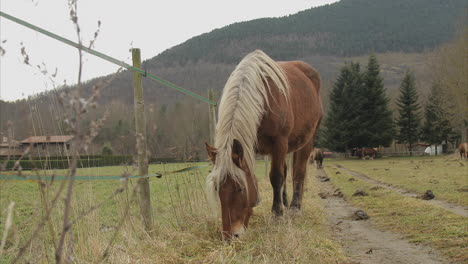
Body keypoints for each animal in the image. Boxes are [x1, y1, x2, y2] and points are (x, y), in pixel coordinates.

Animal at [205, 49, 322, 239]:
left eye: (240, 189)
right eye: (217, 189)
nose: (230, 236)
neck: (264, 99)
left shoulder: (279, 142)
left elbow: (276, 177)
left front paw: (277, 214)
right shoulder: (250, 146)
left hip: (306, 141)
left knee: (298, 172)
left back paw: (294, 207)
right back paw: (285, 202)